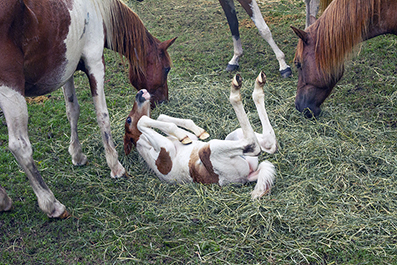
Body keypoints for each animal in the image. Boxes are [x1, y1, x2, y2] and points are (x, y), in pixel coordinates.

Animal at [0, 0, 175, 218]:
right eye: (166, 69)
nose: (164, 100)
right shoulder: (95, 64)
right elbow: (102, 116)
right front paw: (115, 166)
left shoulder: (68, 69)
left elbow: (72, 111)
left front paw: (77, 155)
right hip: (10, 89)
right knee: (20, 146)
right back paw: (51, 204)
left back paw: (4, 201)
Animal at [123, 72, 276, 198]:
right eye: (128, 119)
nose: (140, 92)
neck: (147, 145)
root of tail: (247, 176)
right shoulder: (165, 149)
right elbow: (142, 121)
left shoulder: (183, 139)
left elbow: (160, 118)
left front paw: (196, 132)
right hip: (209, 149)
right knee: (254, 144)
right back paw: (237, 88)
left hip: (233, 136)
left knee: (268, 143)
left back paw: (258, 85)